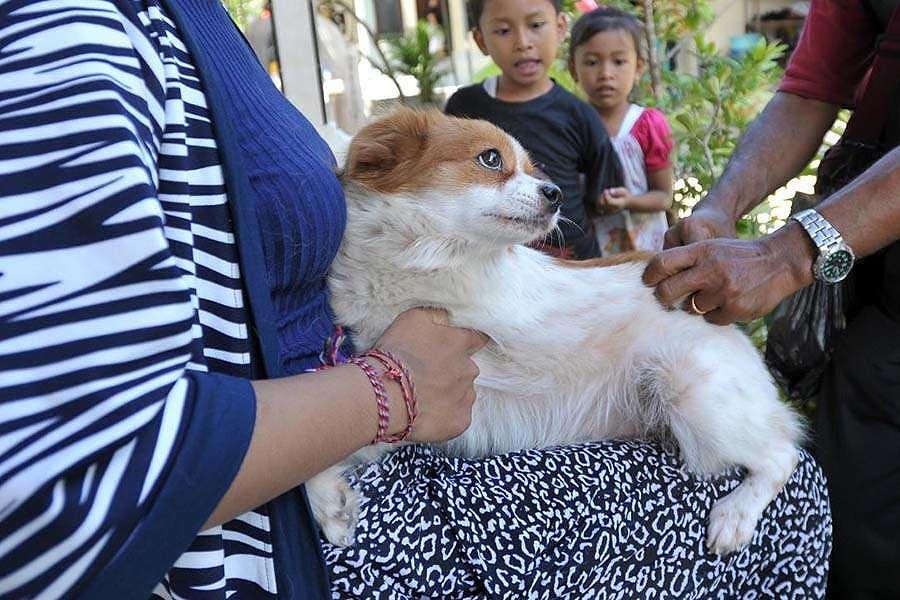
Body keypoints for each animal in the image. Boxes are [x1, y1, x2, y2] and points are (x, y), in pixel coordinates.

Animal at [310, 108, 800, 552]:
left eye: (533, 169)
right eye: (491, 159)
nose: (557, 193)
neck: (428, 259)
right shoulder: (420, 407)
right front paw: (330, 502)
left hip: (693, 395)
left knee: (782, 453)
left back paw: (736, 514)